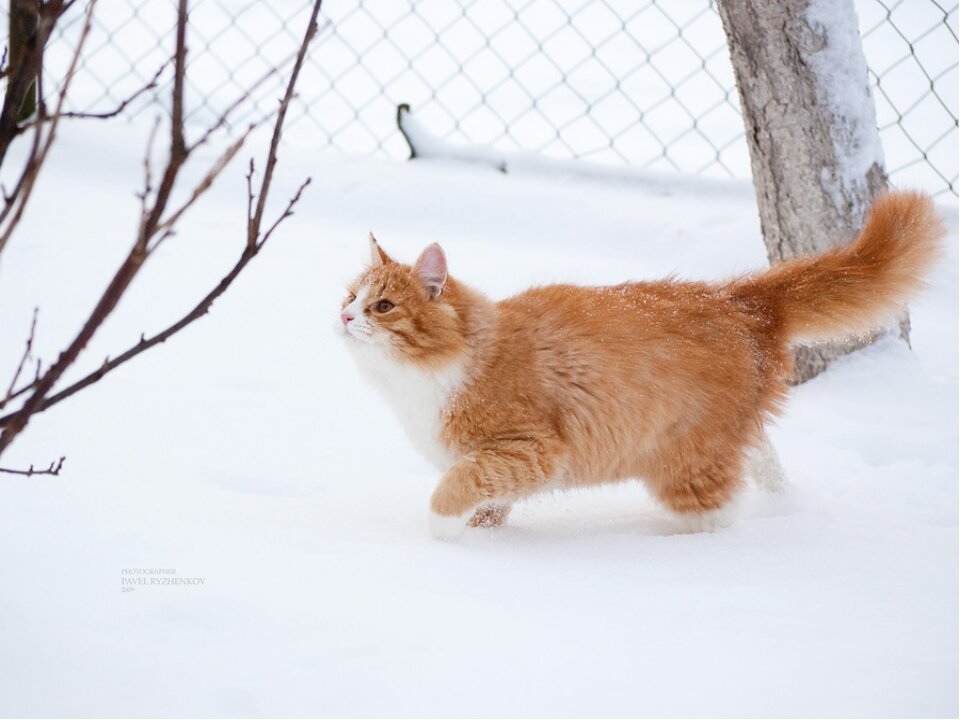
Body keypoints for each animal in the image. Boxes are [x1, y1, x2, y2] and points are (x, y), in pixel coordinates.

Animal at [340, 193, 944, 540]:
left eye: (383, 306)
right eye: (349, 295)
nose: (344, 316)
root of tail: (739, 298)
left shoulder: (528, 447)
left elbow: (459, 484)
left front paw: (442, 532)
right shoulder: (512, 463)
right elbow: (490, 498)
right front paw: (482, 534)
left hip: (686, 463)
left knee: (721, 511)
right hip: (729, 436)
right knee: (765, 460)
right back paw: (786, 506)